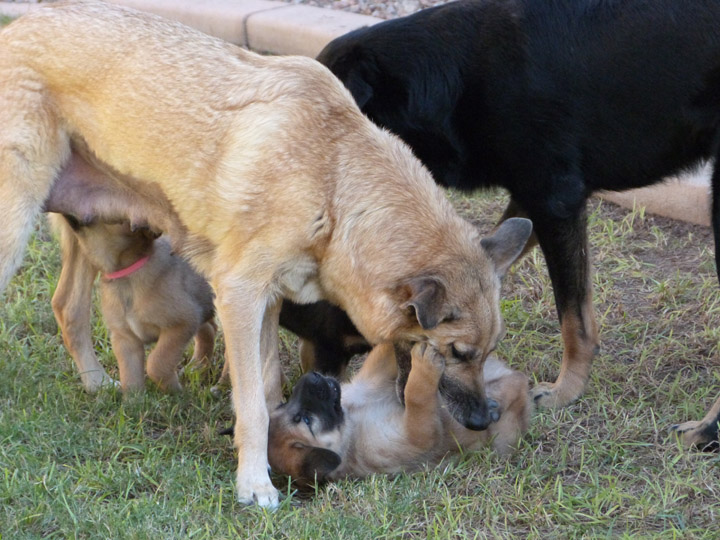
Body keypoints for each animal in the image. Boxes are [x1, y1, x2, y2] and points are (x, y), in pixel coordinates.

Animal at [268, 342, 532, 480]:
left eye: (282, 405)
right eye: (304, 419)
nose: (311, 376)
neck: (352, 421)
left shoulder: (372, 379)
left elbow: (384, 355)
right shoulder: (414, 436)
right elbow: (417, 396)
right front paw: (424, 365)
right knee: (517, 385)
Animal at [308, 0, 720, 448]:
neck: (457, 80)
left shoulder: (555, 200)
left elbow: (573, 320)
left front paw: (565, 392)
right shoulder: (529, 202)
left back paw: (706, 431)